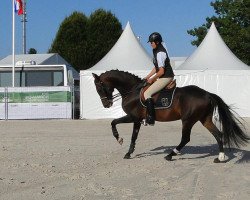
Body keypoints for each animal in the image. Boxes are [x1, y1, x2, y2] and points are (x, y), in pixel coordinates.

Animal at [93, 69, 249, 162]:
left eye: (99, 88)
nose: (106, 105)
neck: (133, 91)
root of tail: (207, 93)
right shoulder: (137, 120)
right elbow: (133, 136)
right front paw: (128, 152)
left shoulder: (133, 117)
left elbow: (114, 123)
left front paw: (120, 141)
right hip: (204, 119)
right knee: (218, 134)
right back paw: (220, 157)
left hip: (188, 120)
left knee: (186, 138)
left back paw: (170, 154)